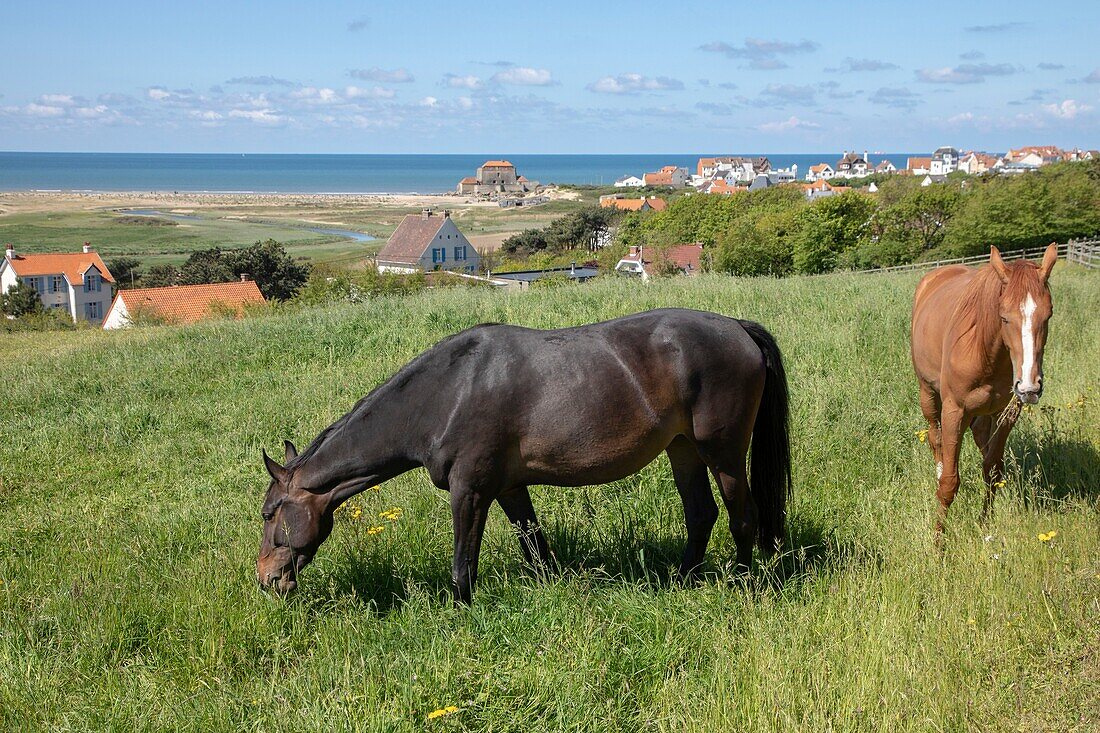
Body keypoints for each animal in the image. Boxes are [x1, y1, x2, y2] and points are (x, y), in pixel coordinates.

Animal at [257, 308, 792, 598]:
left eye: (269, 514)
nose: (266, 578)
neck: (445, 394)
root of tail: (737, 328)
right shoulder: (511, 487)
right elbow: (537, 549)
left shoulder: (470, 491)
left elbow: (463, 566)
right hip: (682, 450)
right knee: (700, 514)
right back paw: (682, 579)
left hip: (721, 452)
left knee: (742, 515)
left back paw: (743, 582)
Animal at [910, 244, 1056, 526]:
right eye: (1004, 317)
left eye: (1048, 314)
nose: (1029, 387)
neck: (985, 352)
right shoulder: (954, 411)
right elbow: (948, 483)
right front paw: (938, 536)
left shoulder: (1006, 413)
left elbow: (992, 469)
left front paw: (984, 522)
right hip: (928, 393)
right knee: (935, 436)